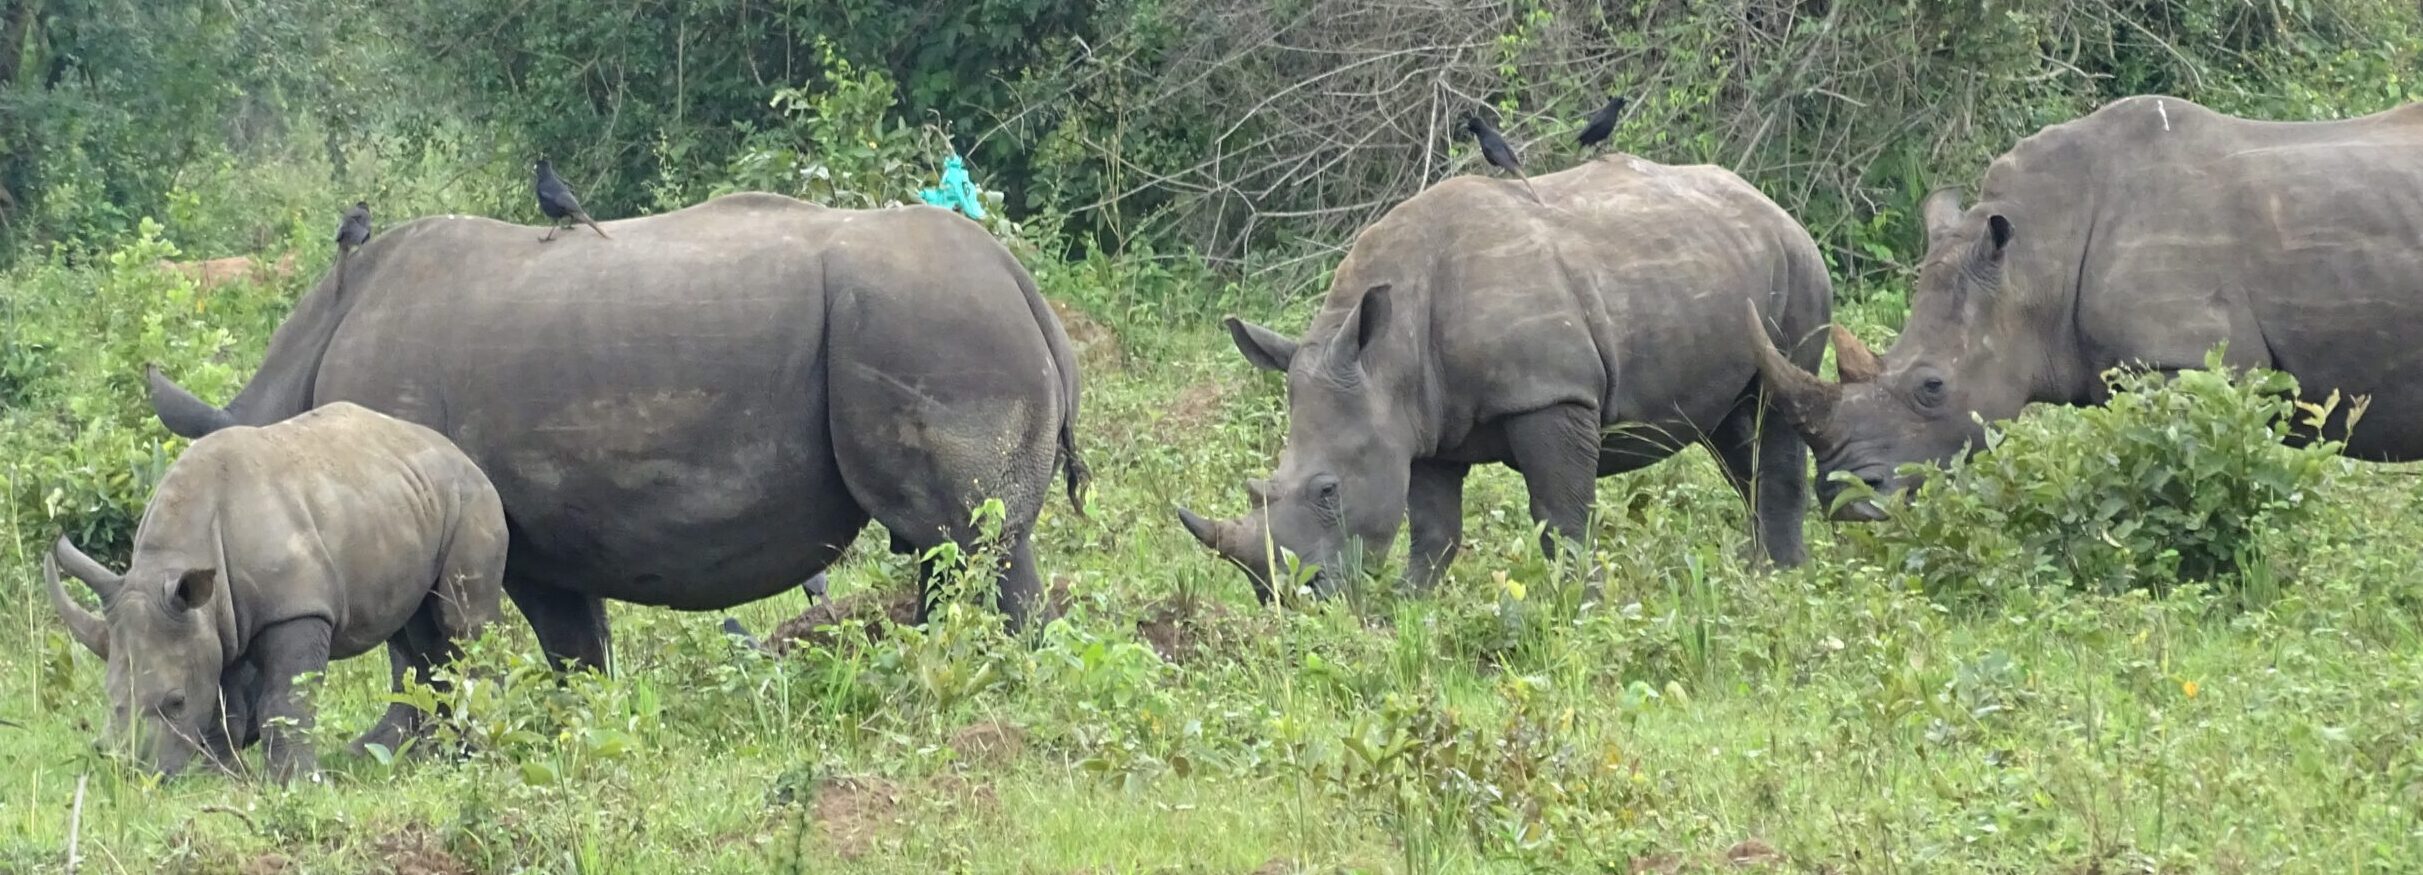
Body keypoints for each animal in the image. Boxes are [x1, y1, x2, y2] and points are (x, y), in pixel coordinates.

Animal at [45, 402, 506, 780]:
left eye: (176, 701)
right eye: (107, 695)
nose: (130, 773)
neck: (176, 553)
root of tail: (456, 450)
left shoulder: (297, 609)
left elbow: (286, 701)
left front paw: (296, 783)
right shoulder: (212, 620)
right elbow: (223, 708)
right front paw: (225, 779)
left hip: (472, 498)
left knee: (462, 623)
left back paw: (472, 749)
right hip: (400, 500)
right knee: (411, 635)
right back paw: (399, 754)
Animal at [146, 193, 1087, 669]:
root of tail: (1021, 283)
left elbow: (429, 656)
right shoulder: (538, 532)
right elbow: (575, 647)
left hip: (934, 324)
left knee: (971, 538)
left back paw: (995, 677)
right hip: (937, 320)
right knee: (946, 548)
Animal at [1177, 155, 1832, 598]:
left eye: (1328, 491)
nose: (1285, 598)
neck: (1385, 358)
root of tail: (1771, 204)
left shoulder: (1548, 394)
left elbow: (1561, 514)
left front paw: (1581, 604)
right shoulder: (1421, 425)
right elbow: (1434, 530)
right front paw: (1409, 604)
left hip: (1798, 264)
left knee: (1779, 403)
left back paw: (1782, 581)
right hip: (1720, 261)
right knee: (1731, 430)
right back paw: (1758, 573)